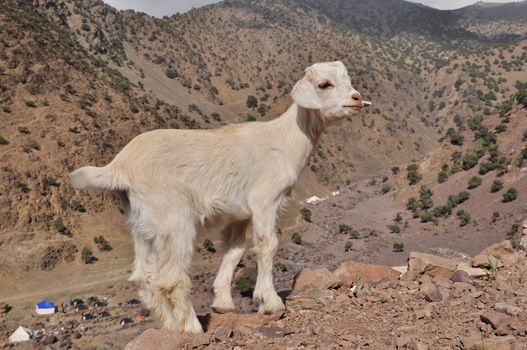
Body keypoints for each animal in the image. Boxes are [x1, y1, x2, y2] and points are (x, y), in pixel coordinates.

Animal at [70, 61, 372, 332]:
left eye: (347, 79)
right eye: (324, 84)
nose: (357, 99)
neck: (286, 139)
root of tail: (120, 167)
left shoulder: (239, 214)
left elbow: (234, 251)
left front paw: (223, 303)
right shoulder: (265, 201)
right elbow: (268, 245)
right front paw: (270, 302)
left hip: (141, 225)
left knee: (144, 278)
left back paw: (170, 327)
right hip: (174, 220)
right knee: (171, 278)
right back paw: (191, 328)